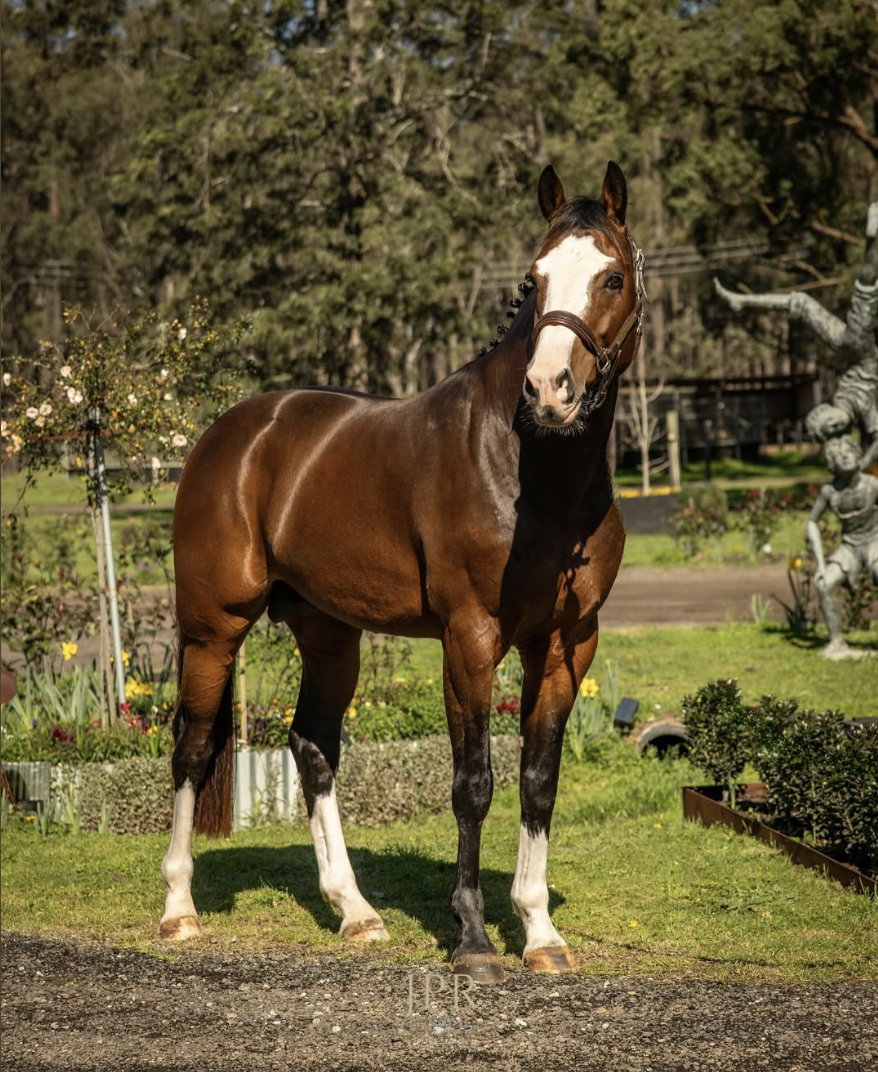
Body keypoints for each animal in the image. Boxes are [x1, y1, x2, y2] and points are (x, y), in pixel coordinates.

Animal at [161, 161, 646, 984]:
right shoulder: (470, 639)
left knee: (314, 748)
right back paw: (179, 909)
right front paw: (474, 939)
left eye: (611, 276)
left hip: (329, 635)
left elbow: (538, 782)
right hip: (212, 630)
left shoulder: (568, 643)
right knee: (192, 749)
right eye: (536, 276)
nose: (549, 390)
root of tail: (231, 434)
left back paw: (355, 912)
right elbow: (474, 784)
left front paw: (539, 931)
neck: (533, 472)